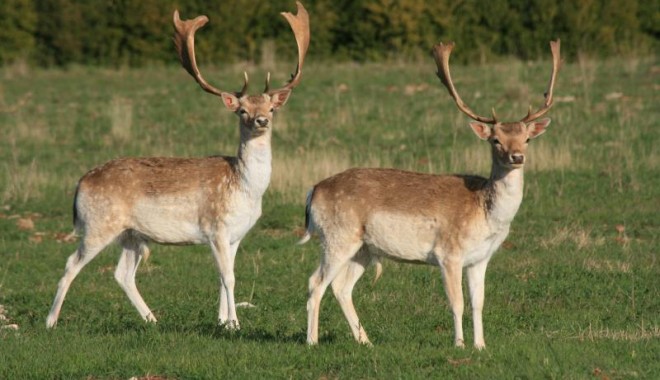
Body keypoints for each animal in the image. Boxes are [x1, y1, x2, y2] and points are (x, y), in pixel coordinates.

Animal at [46, 1, 310, 328]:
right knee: (71, 263)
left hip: (132, 235)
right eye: (242, 110)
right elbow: (229, 277)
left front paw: (222, 321)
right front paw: (235, 324)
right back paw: (50, 321)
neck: (245, 188)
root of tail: (80, 184)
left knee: (122, 274)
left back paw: (152, 320)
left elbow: (224, 276)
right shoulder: (215, 227)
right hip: (98, 224)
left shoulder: (236, 235)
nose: (261, 120)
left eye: (272, 107)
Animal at [300, 40, 564, 348]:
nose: (517, 156)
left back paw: (366, 341)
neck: (486, 214)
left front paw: (481, 345)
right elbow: (456, 302)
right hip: (337, 238)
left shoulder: (480, 258)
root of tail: (313, 192)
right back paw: (312, 341)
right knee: (316, 282)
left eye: (527, 138)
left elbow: (478, 303)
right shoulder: (448, 253)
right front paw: (459, 344)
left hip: (363, 248)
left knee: (342, 287)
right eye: (495, 140)